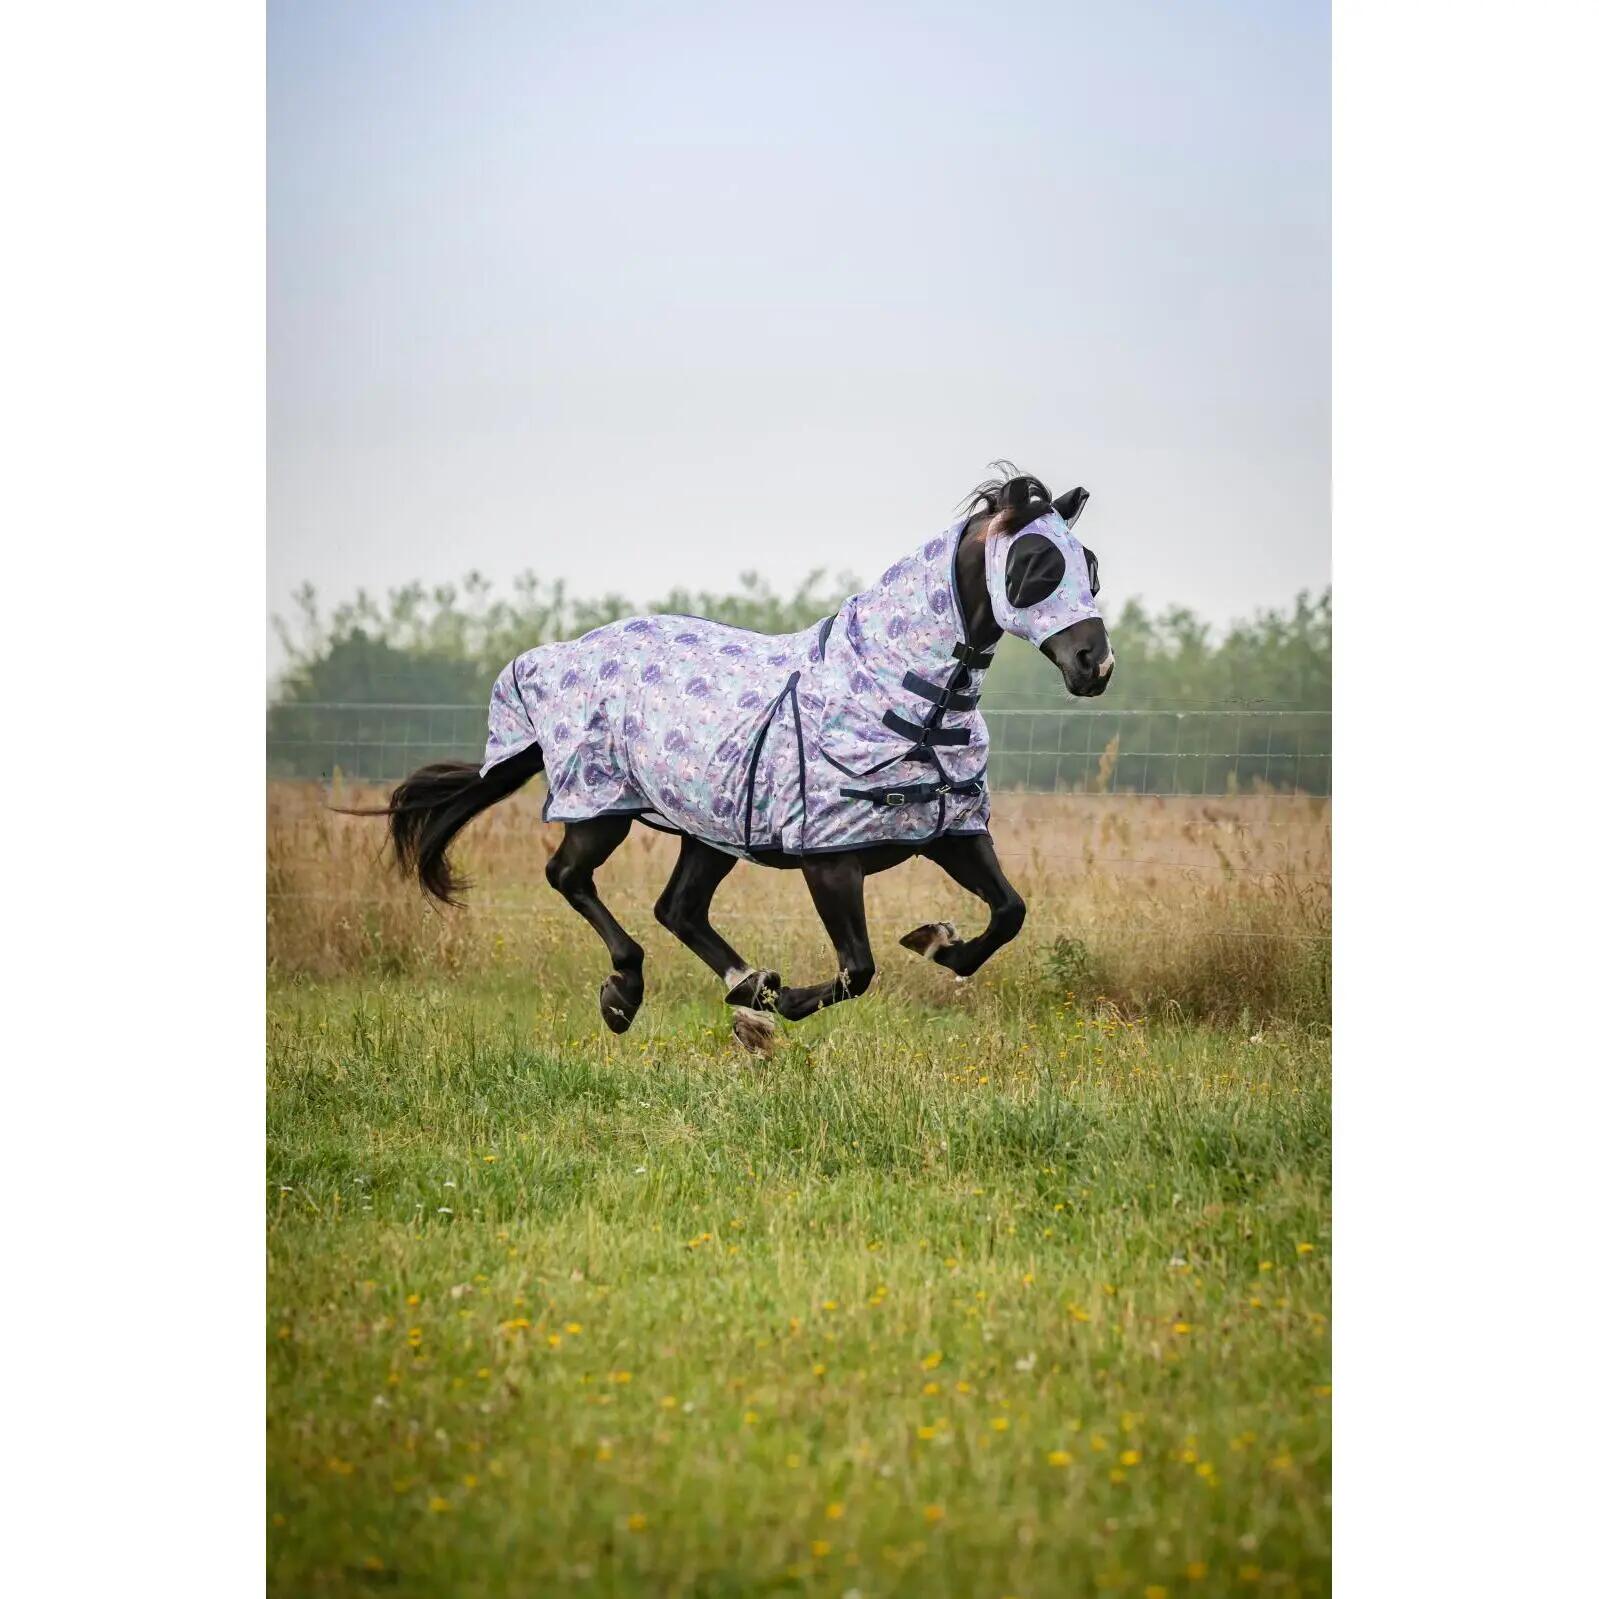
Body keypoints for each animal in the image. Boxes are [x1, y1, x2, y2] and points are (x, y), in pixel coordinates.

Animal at [358, 467, 1114, 1053]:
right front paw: (788, 1002)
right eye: (1035, 566)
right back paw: (630, 992)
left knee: (678, 908)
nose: (1094, 665)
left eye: (1090, 568)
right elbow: (857, 970)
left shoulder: (948, 831)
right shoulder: (827, 861)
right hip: (601, 808)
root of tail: (553, 655)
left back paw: (744, 984)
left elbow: (1009, 911)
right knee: (568, 876)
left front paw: (938, 943)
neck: (900, 695)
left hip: (712, 828)